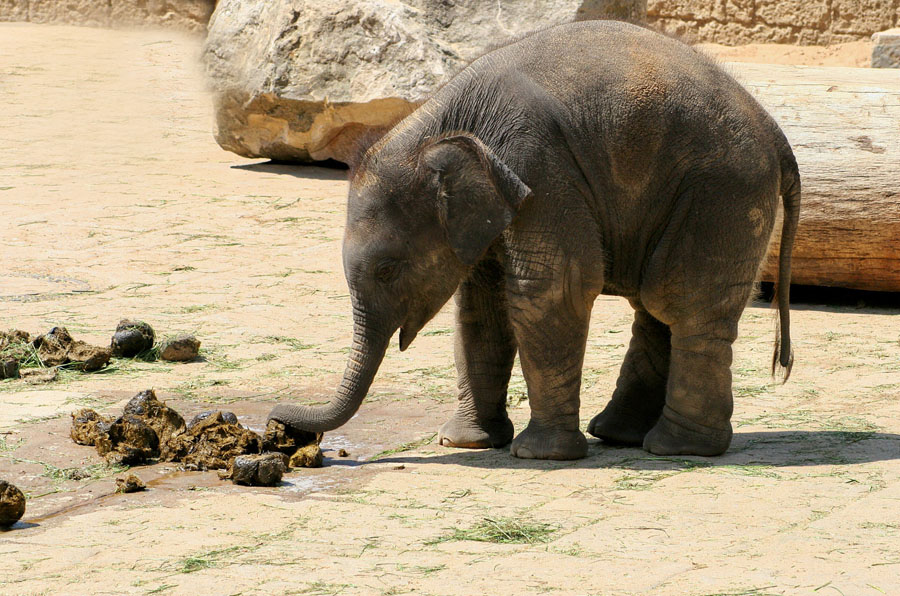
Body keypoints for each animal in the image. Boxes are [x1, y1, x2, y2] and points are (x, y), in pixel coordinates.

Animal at [268, 17, 800, 456]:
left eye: (386, 269)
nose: (279, 420)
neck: (442, 127)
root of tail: (773, 127)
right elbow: (480, 308)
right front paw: (465, 443)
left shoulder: (541, 171)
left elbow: (549, 292)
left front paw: (538, 455)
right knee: (656, 305)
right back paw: (618, 434)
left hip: (722, 192)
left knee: (682, 301)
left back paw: (676, 448)